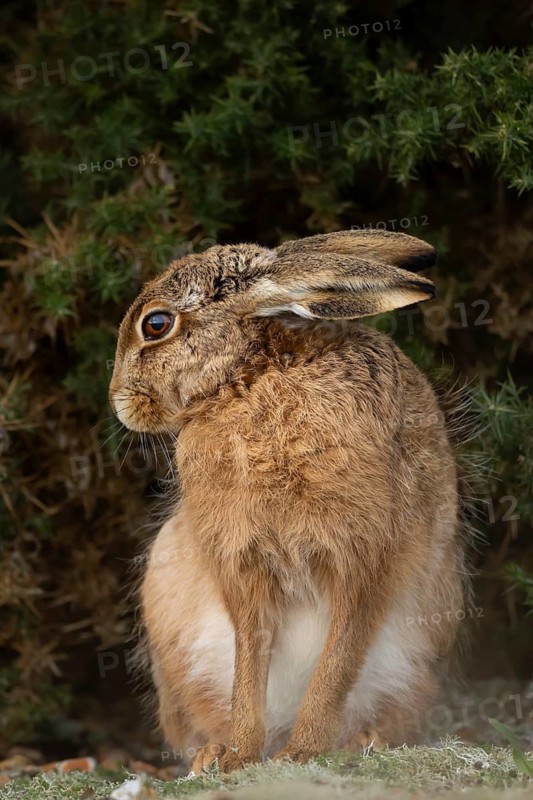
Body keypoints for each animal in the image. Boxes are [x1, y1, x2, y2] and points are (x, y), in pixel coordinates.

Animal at [109, 229, 465, 774]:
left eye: (156, 324)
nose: (118, 403)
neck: (252, 379)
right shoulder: (243, 561)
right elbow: (250, 659)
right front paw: (238, 756)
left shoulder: (365, 556)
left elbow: (339, 658)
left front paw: (302, 752)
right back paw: (212, 753)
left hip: (413, 664)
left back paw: (359, 742)